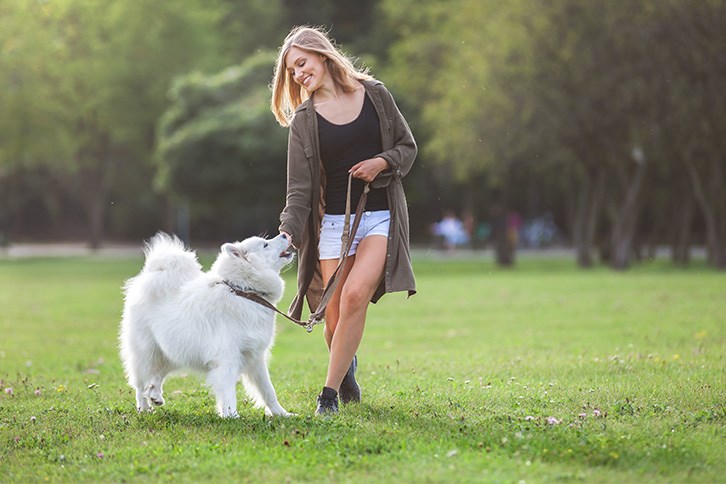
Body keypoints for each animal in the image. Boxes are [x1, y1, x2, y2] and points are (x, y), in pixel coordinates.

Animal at [118, 231, 294, 416]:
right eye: (265, 244)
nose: (285, 234)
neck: (243, 291)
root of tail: (151, 275)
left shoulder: (255, 358)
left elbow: (268, 391)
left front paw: (282, 414)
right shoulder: (226, 358)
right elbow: (228, 392)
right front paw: (231, 416)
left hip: (173, 352)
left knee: (156, 377)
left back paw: (155, 395)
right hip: (147, 353)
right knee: (140, 384)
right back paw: (144, 408)